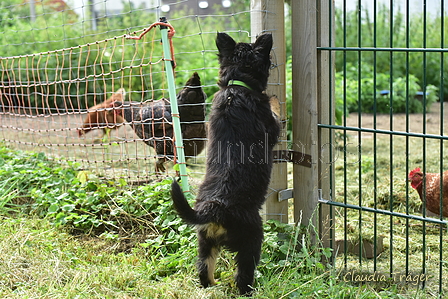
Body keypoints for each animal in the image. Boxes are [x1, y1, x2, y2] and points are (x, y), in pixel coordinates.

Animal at [170, 31, 278, 296]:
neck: (236, 87)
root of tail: (214, 209)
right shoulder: (273, 128)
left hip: (204, 240)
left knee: (204, 266)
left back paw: (210, 285)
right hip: (252, 237)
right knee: (244, 272)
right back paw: (250, 291)